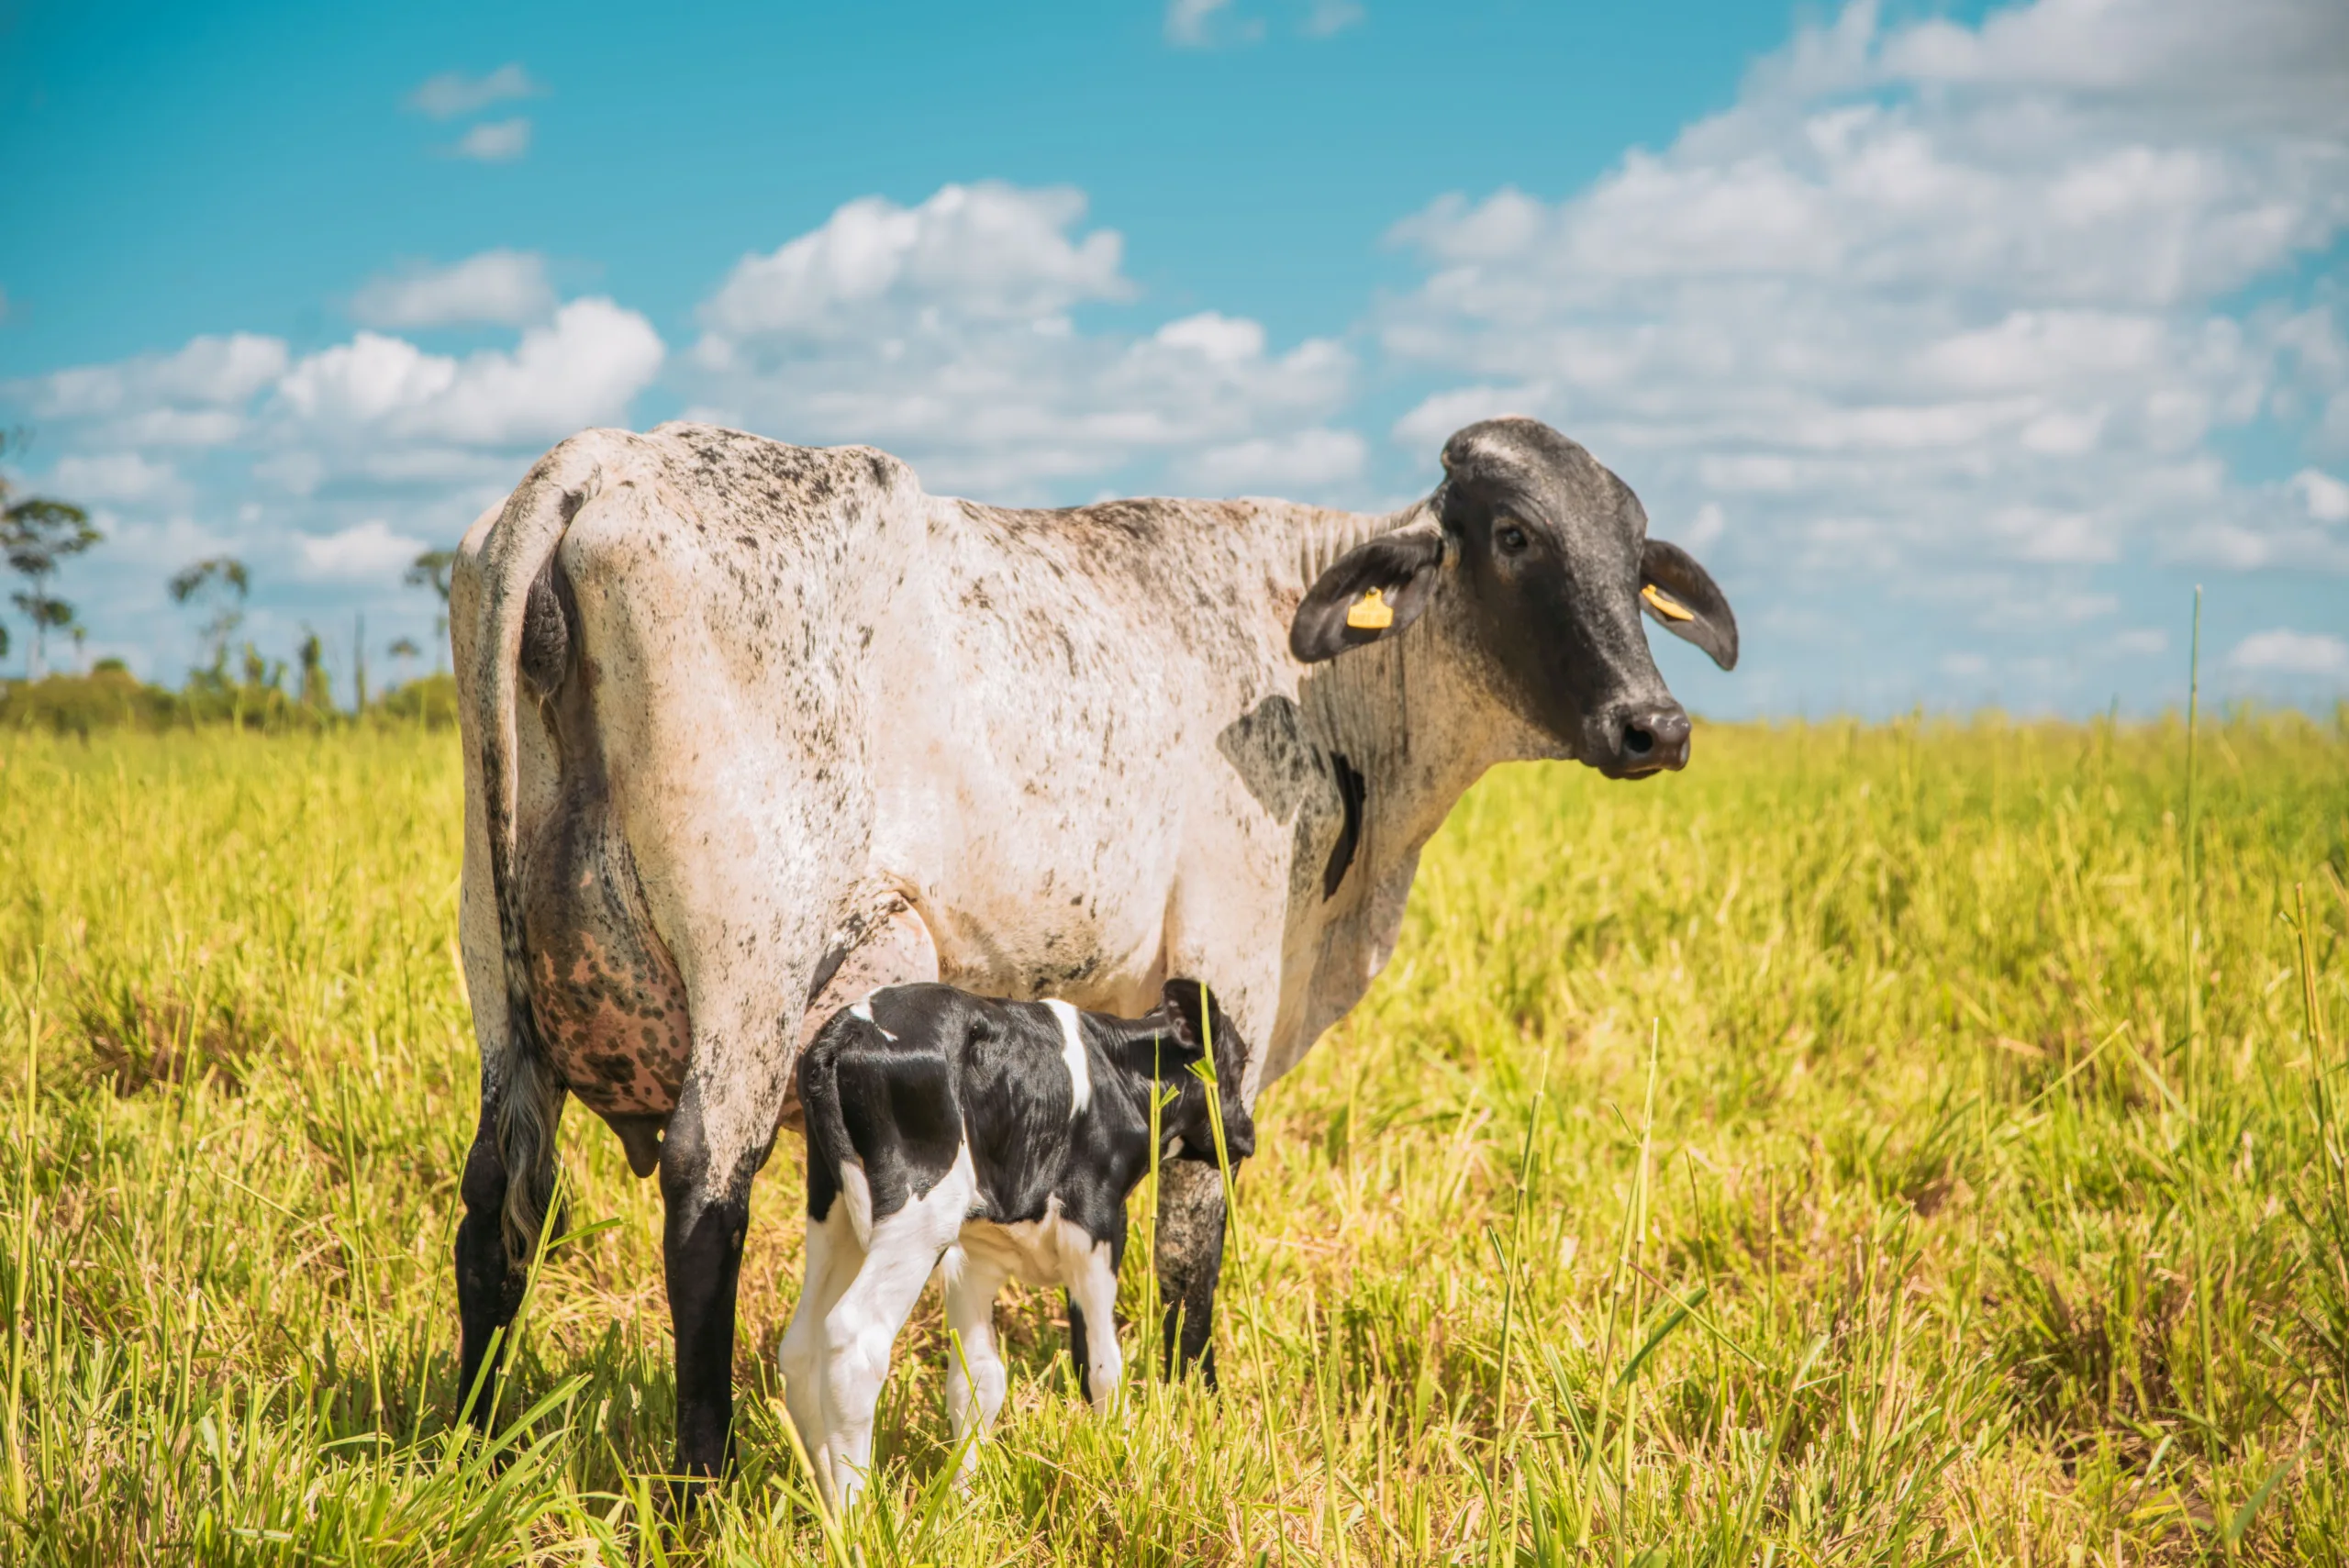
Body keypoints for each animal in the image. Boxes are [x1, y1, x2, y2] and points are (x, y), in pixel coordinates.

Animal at [779, 981, 1249, 1502]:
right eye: (1243, 1062)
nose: (1246, 1135)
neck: (1119, 1073)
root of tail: (847, 1028)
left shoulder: (976, 1255)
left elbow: (978, 1380)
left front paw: (965, 1501)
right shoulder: (1097, 1228)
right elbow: (1104, 1367)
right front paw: (1123, 1466)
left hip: (833, 1209)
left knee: (800, 1346)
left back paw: (823, 1497)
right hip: (920, 1217)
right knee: (855, 1339)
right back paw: (855, 1512)